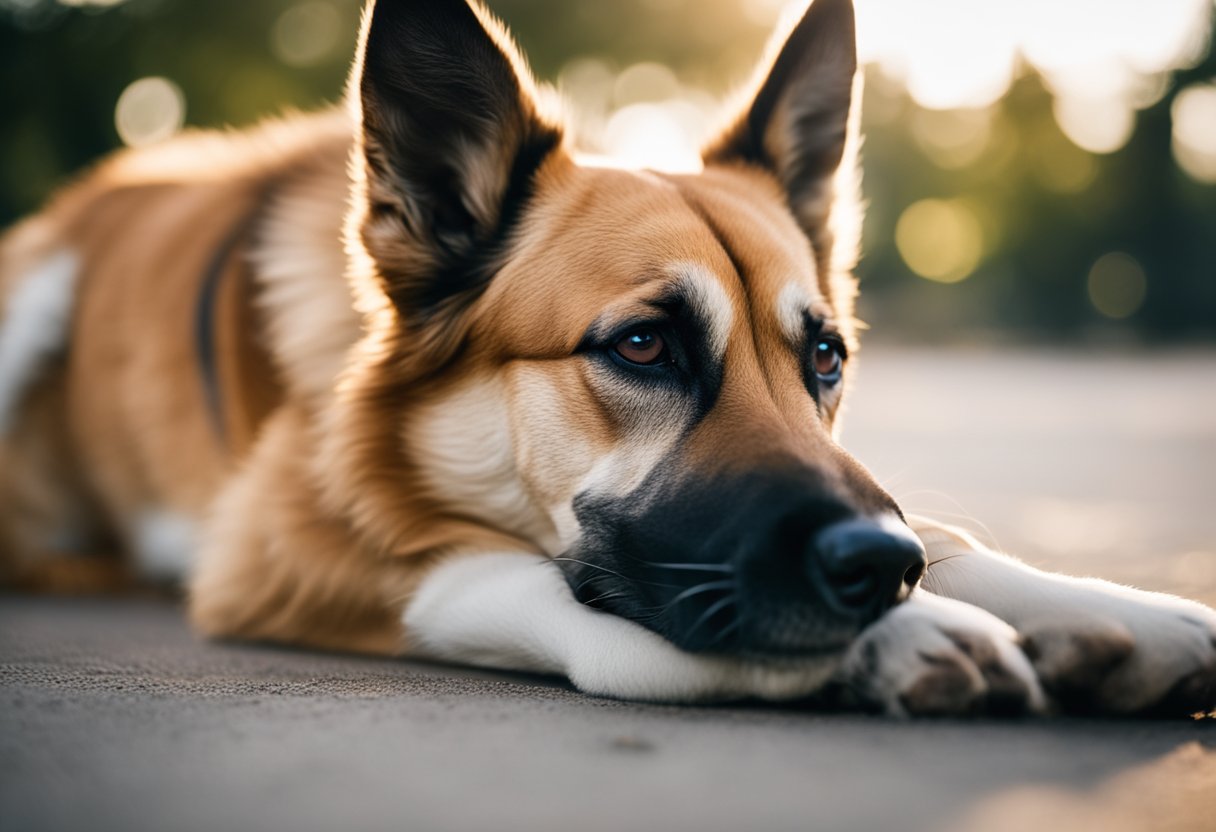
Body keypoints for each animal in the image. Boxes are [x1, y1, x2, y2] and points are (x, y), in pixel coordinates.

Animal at [0, 0, 1211, 720]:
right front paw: (903, 630)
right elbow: (548, 586)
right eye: (643, 346)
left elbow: (946, 535)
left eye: (824, 357)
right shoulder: (279, 549)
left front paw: (1107, 607)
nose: (876, 569)